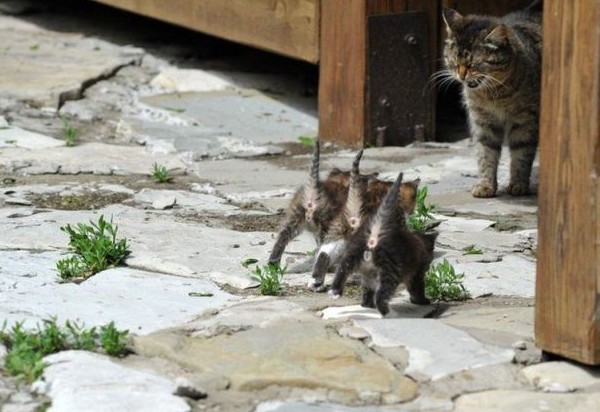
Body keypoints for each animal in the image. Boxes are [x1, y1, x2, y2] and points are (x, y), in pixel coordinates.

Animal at [326, 172, 438, 318]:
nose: (413, 210)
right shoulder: (416, 273)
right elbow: (416, 288)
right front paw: (422, 301)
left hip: (351, 253)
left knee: (340, 268)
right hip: (389, 271)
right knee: (381, 294)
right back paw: (387, 312)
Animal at [440, 2, 544, 197]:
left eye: (472, 65)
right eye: (455, 62)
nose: (461, 76)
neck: (493, 95)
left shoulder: (525, 122)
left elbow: (521, 154)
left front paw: (518, 185)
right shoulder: (483, 122)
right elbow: (485, 154)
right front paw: (485, 185)